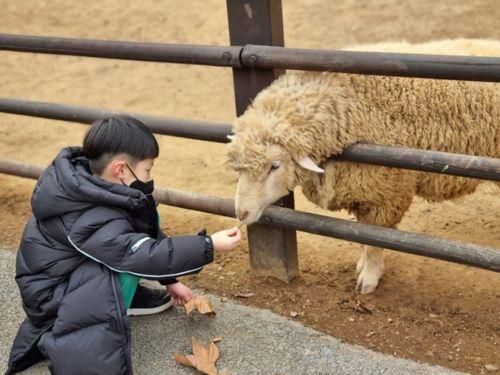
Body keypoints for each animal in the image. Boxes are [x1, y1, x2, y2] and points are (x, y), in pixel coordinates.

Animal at [227, 39, 500, 296]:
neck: (345, 104)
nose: (241, 213)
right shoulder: (364, 192)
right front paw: (363, 266)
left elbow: (374, 239)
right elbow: (361, 235)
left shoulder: (386, 193)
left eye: (274, 166)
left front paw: (369, 278)